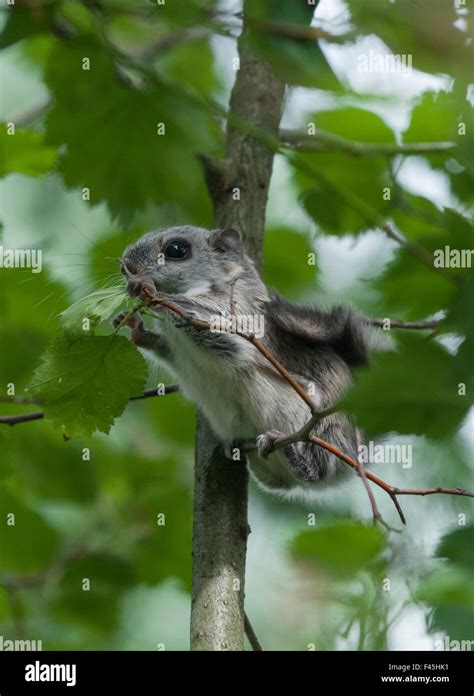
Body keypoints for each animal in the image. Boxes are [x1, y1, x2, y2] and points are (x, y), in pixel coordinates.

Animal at [115, 226, 386, 502]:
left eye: (176, 250)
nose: (126, 267)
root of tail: (358, 450)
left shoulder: (241, 321)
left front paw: (150, 291)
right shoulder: (176, 350)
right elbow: (164, 349)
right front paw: (135, 327)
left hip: (318, 428)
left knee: (316, 469)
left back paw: (288, 449)